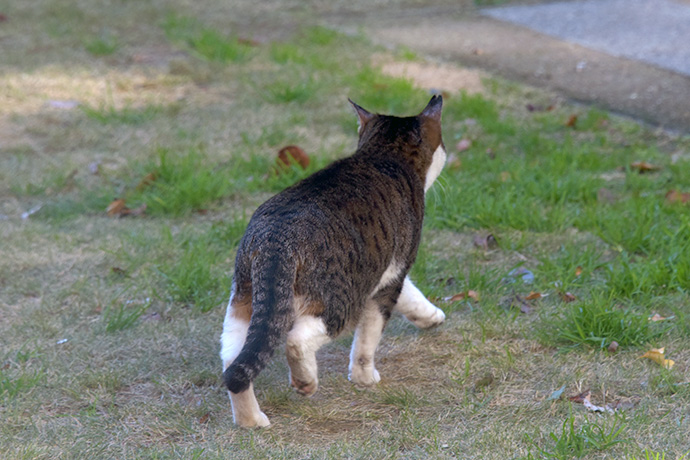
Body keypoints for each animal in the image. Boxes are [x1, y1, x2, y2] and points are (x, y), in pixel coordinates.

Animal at [220, 96, 446, 428]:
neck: (384, 155)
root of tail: (276, 238)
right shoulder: (391, 272)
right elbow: (368, 336)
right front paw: (364, 377)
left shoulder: (383, 270)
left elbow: (410, 295)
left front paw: (430, 316)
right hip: (340, 299)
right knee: (296, 339)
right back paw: (305, 382)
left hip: (243, 300)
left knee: (234, 363)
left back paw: (251, 420)